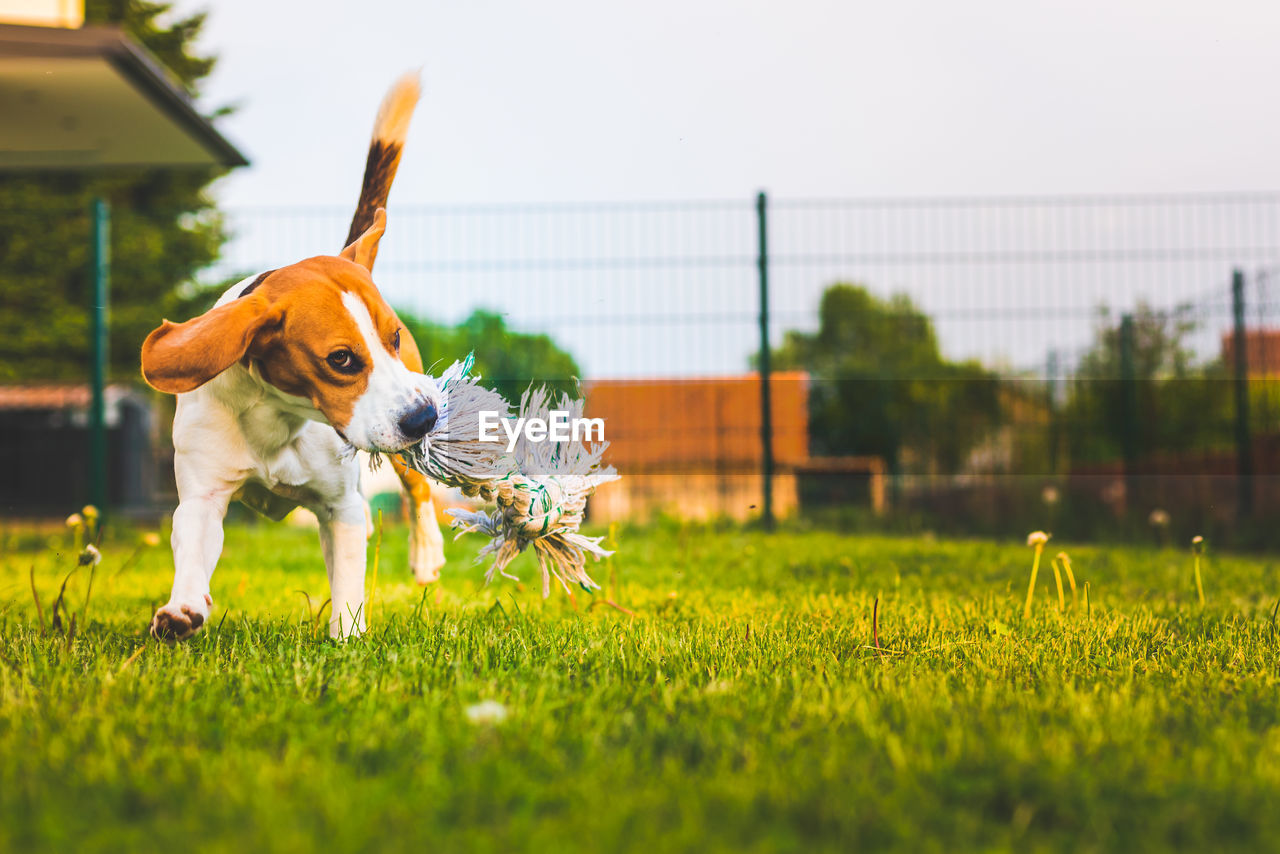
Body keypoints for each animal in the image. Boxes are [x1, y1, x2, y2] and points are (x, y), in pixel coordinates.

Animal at [141, 73, 445, 637]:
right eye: (341, 360)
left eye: (392, 337)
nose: (423, 418)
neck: (277, 418)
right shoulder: (202, 496)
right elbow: (193, 547)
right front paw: (182, 610)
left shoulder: (341, 506)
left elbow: (348, 582)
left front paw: (347, 637)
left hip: (405, 439)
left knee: (418, 489)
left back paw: (427, 553)